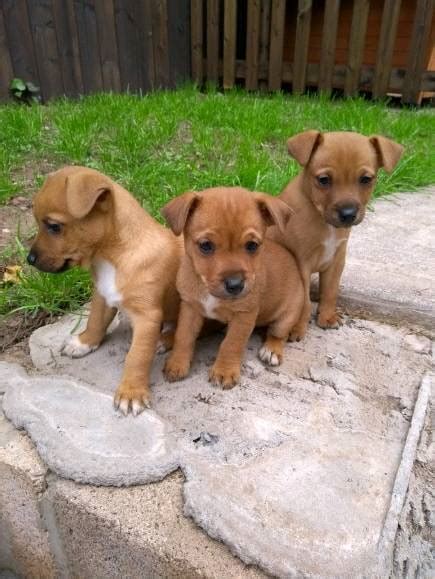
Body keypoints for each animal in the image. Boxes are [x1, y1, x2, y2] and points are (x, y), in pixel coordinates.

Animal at [28, 165, 182, 414]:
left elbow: (137, 356)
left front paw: (131, 392)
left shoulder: (147, 317)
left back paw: (163, 340)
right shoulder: (102, 295)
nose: (29, 259)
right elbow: (95, 321)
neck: (111, 257)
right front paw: (84, 342)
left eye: (54, 227)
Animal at [160, 187, 304, 390]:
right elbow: (184, 336)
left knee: (277, 334)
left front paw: (224, 371)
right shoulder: (190, 307)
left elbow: (231, 343)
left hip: (287, 316)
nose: (235, 285)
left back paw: (271, 350)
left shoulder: (244, 316)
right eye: (206, 245)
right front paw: (177, 363)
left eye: (252, 245)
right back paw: (167, 339)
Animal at [270, 131, 406, 340]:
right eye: (323, 180)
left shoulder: (336, 260)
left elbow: (330, 291)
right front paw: (296, 327)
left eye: (366, 179)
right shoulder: (302, 263)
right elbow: (304, 302)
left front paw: (326, 317)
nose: (348, 214)